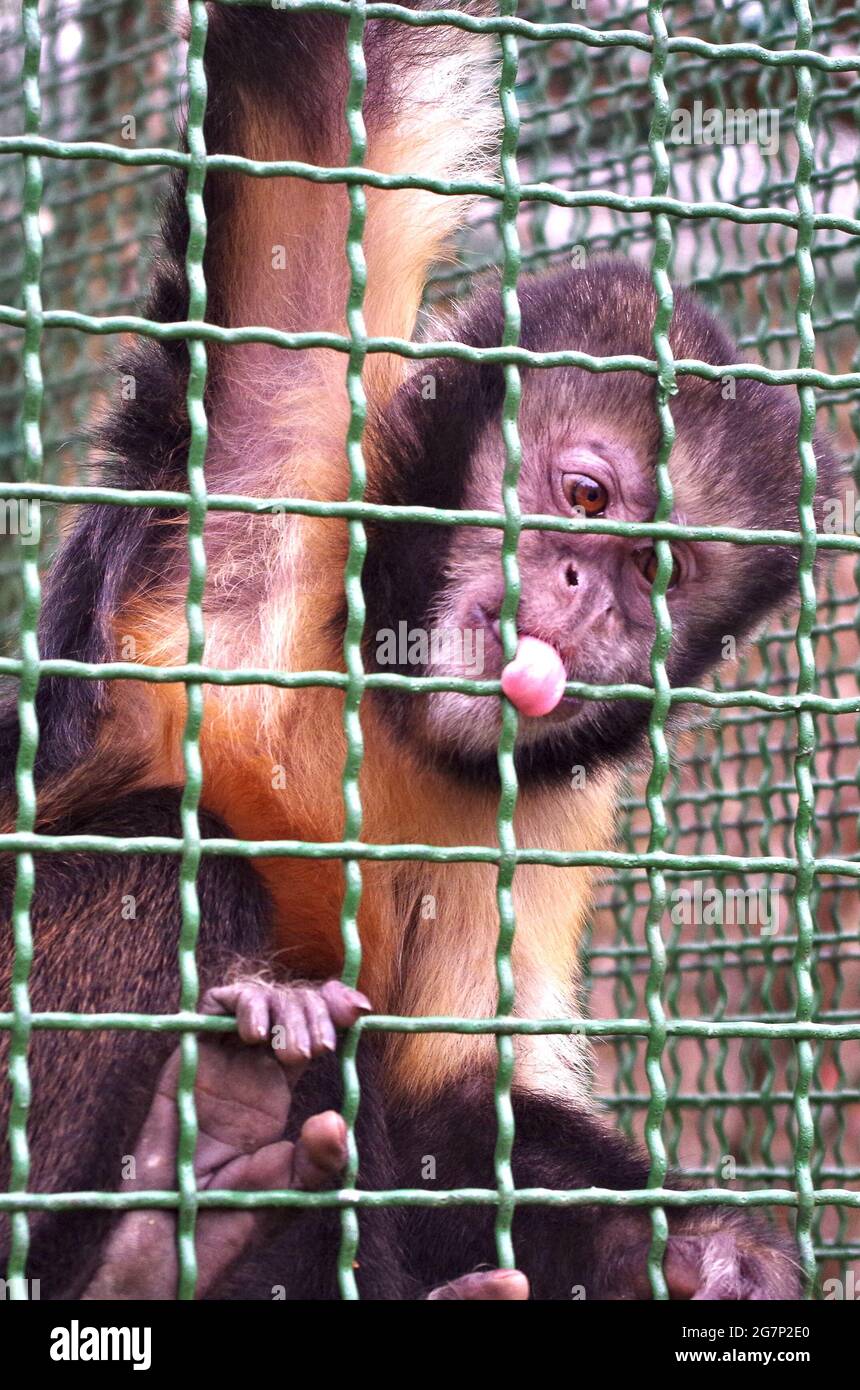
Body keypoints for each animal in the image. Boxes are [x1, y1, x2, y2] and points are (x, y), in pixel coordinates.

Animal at [0, 2, 839, 1301]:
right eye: (585, 496)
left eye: (660, 576)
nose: (587, 596)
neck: (387, 692)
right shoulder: (272, 454)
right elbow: (308, 85)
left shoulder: (550, 805)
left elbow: (446, 1097)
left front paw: (707, 1251)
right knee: (162, 855)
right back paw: (137, 1253)